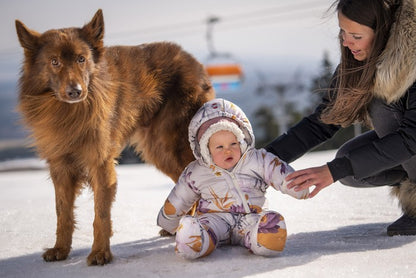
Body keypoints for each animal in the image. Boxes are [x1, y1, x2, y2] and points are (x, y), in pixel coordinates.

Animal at [14, 9, 214, 264]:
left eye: (81, 59)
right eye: (54, 61)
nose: (75, 91)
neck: (70, 113)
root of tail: (194, 62)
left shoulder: (100, 164)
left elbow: (100, 214)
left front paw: (100, 253)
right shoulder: (60, 167)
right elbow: (62, 213)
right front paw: (61, 249)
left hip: (173, 146)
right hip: (159, 151)